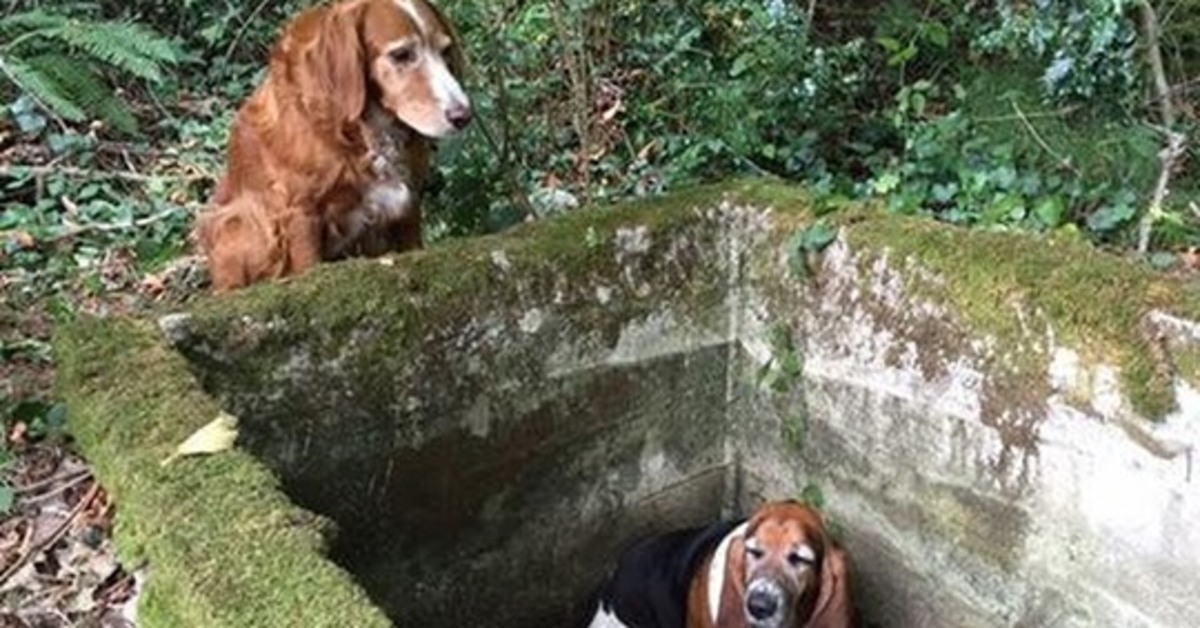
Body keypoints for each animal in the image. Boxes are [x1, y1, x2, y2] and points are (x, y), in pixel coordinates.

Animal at [194, 0, 470, 291]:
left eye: (445, 51)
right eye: (401, 55)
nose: (464, 116)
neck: (361, 129)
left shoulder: (408, 202)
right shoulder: (300, 213)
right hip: (238, 223)